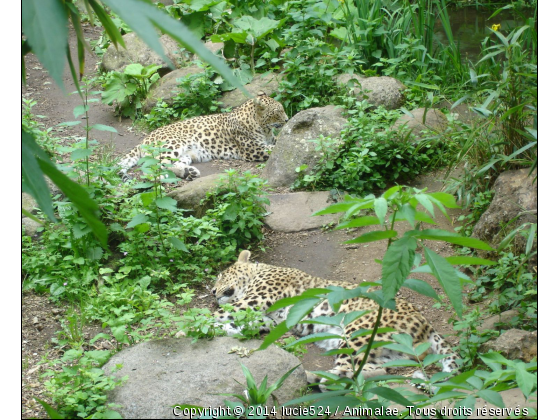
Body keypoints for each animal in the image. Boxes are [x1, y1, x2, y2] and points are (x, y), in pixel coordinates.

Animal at [116, 92, 286, 181]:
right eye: (277, 112)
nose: (286, 120)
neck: (265, 129)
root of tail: (144, 139)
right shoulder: (254, 150)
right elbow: (273, 149)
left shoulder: (270, 139)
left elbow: (278, 142)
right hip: (173, 145)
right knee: (150, 168)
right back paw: (166, 176)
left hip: (185, 154)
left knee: (168, 164)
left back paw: (188, 172)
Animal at [211, 249, 460, 390]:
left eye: (221, 276)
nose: (212, 291)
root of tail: (426, 323)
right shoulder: (266, 318)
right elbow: (238, 322)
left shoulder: (256, 299)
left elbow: (217, 314)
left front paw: (202, 327)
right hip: (382, 351)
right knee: (372, 371)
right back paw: (309, 378)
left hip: (357, 332)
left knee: (348, 372)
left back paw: (301, 379)